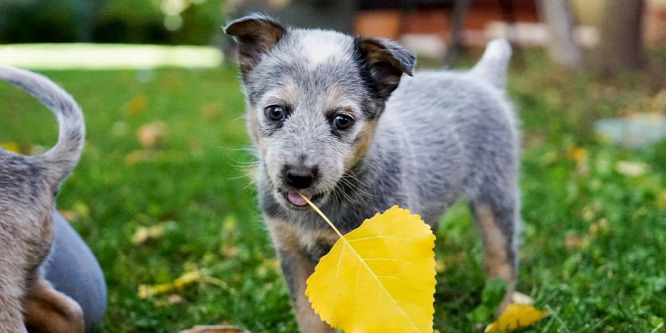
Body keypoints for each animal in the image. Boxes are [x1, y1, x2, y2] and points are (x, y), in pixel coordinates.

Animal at [226, 13, 520, 332]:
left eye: (342, 120)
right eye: (275, 111)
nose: (299, 176)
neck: (325, 213)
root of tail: (479, 78)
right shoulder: (291, 249)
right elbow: (310, 316)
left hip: (496, 195)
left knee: (503, 259)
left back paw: (501, 317)